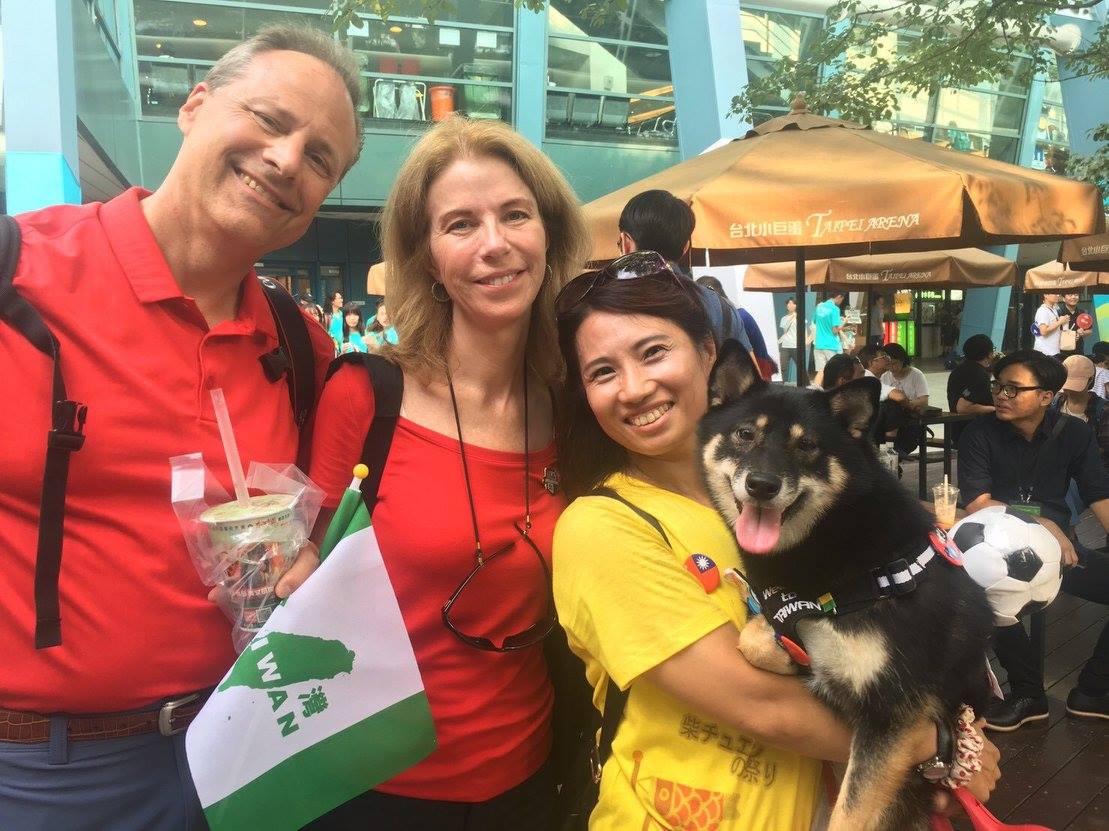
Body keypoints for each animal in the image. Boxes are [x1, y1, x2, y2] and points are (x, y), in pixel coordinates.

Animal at [698, 341, 995, 831]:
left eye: (807, 446)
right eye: (744, 434)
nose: (762, 485)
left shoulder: (893, 717)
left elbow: (850, 815)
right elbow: (755, 636)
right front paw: (789, 659)